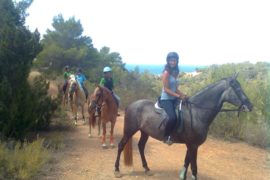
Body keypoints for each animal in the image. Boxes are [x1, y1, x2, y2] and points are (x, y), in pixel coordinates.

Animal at [114, 74, 253, 179]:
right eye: (238, 89)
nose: (250, 106)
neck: (197, 112)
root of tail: (132, 105)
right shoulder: (193, 145)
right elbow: (194, 167)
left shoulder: (190, 145)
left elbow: (186, 163)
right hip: (130, 130)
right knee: (121, 146)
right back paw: (116, 170)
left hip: (144, 132)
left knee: (141, 147)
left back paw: (147, 169)